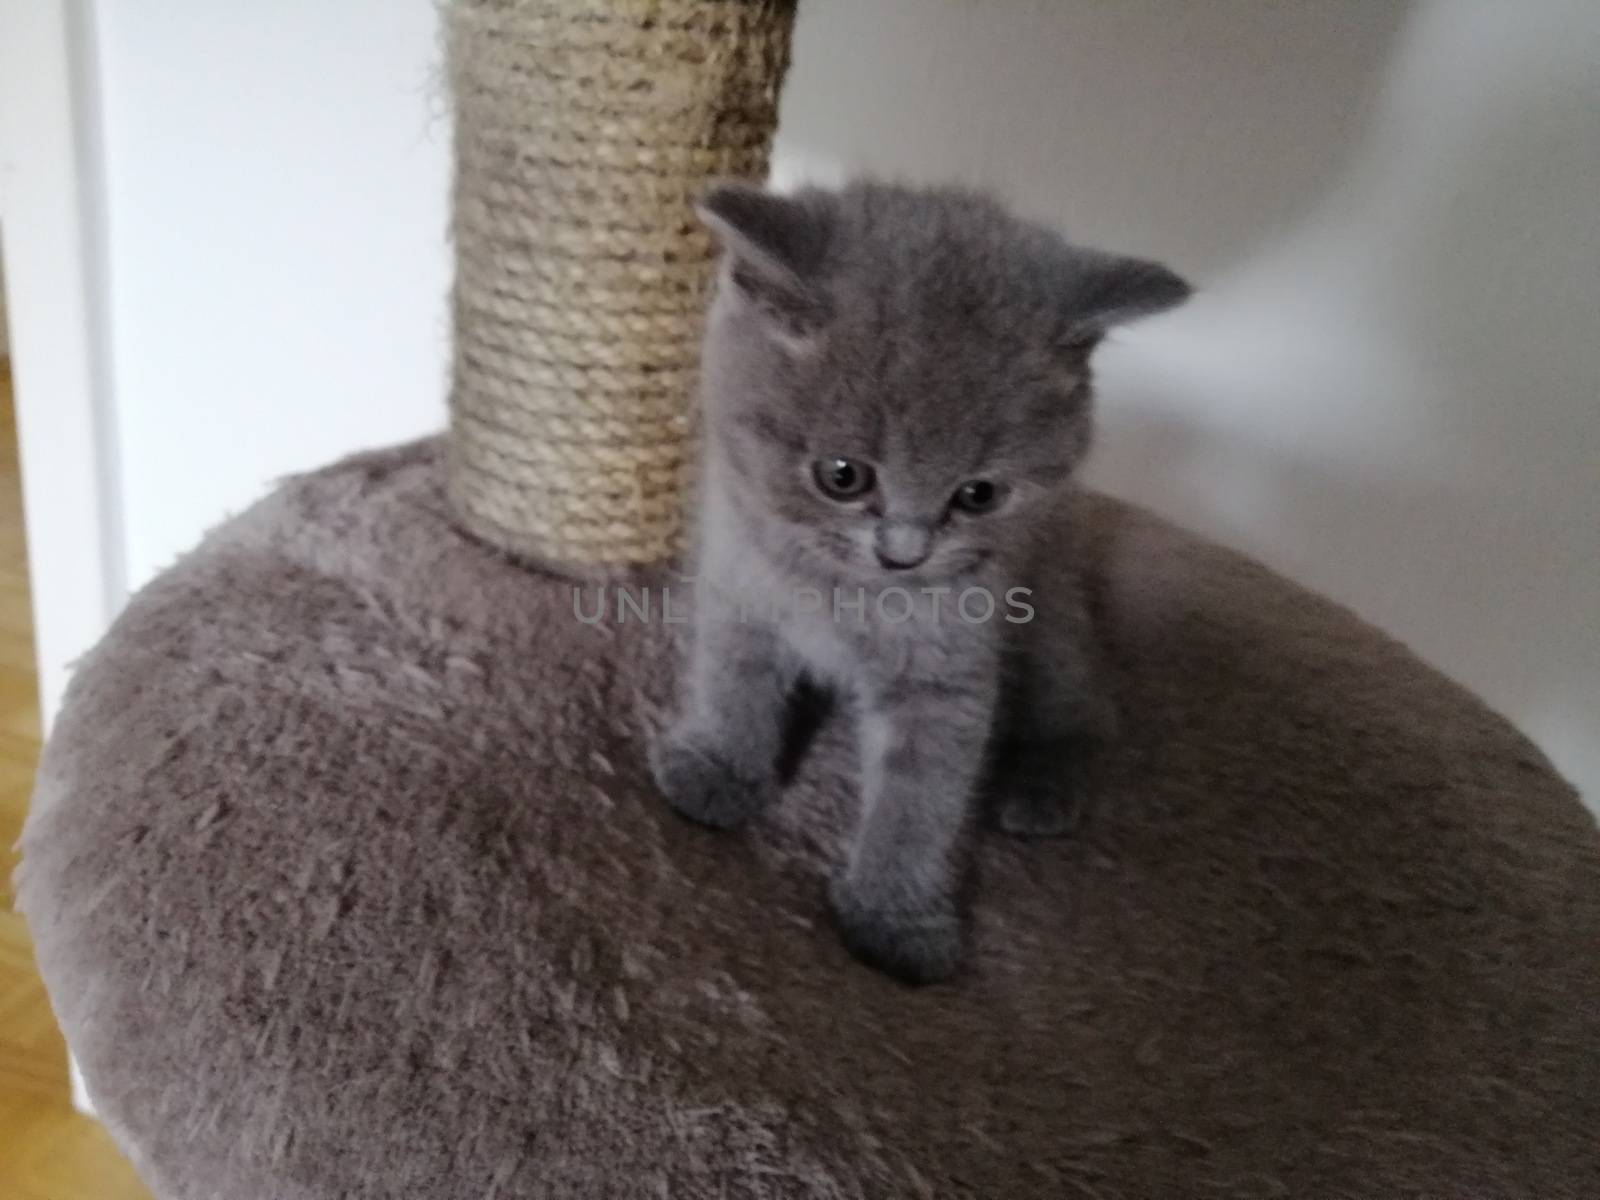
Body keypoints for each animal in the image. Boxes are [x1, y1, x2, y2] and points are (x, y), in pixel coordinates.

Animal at [649, 180, 1190, 985]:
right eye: (842, 476)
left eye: (978, 495)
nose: (904, 553)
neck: (843, 596)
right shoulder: (736, 578)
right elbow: (732, 681)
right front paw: (718, 769)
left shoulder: (950, 668)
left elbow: (920, 798)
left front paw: (895, 919)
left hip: (1054, 615)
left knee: (1085, 713)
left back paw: (1038, 789)